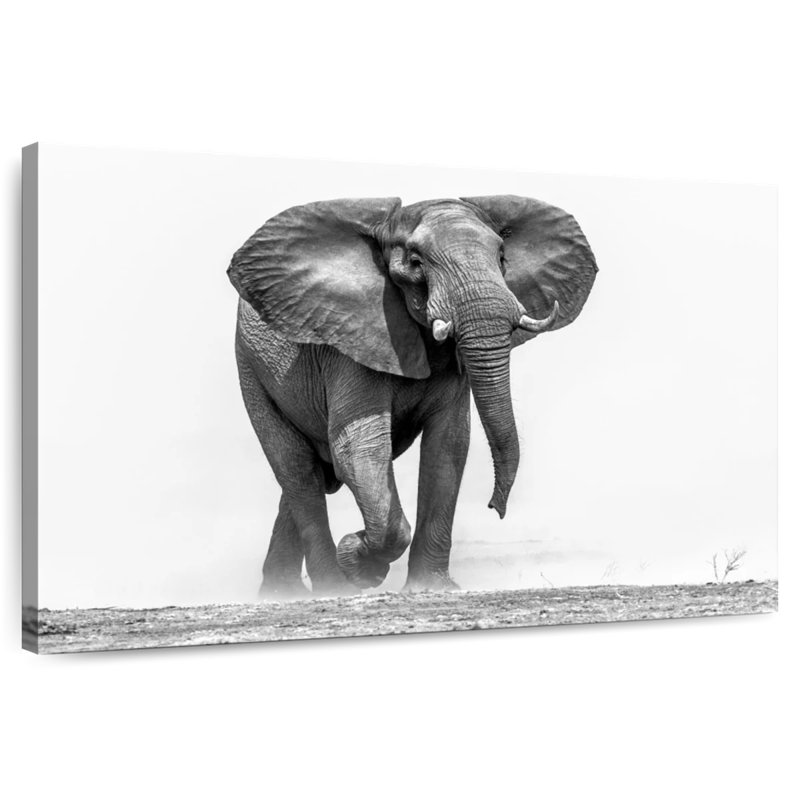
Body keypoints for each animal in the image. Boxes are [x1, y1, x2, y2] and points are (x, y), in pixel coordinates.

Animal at [227, 195, 597, 597]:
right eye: (416, 264)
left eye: (502, 257)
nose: (495, 508)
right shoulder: (353, 339)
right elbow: (357, 448)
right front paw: (357, 561)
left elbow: (448, 447)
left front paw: (432, 587)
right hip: (252, 371)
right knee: (298, 472)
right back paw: (331, 588)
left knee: (307, 479)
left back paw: (281, 593)